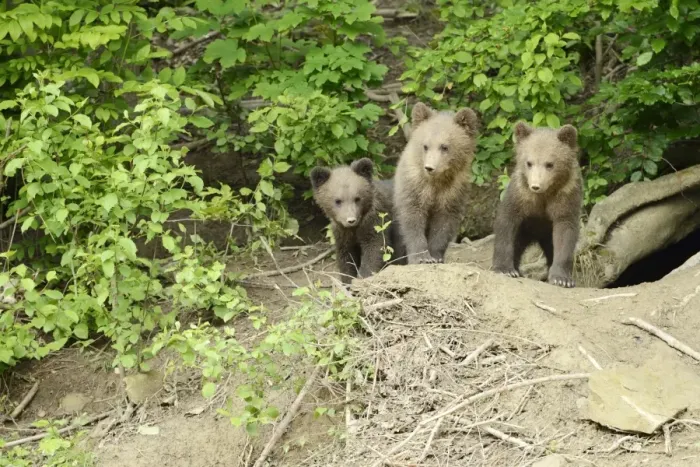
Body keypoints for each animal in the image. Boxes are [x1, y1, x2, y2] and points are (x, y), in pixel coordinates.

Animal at [393, 101, 479, 264]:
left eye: (444, 146)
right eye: (425, 145)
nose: (429, 167)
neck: (436, 182)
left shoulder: (452, 193)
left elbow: (443, 225)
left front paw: (436, 256)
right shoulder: (414, 189)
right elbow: (412, 220)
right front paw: (421, 257)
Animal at [491, 122, 583, 288]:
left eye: (550, 164)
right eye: (529, 163)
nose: (536, 185)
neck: (545, 195)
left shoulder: (566, 195)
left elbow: (565, 232)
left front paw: (562, 278)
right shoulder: (521, 195)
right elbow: (507, 222)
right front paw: (505, 269)